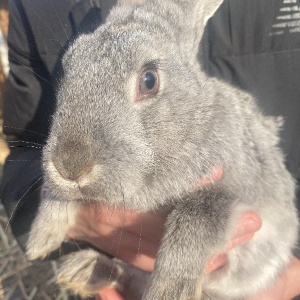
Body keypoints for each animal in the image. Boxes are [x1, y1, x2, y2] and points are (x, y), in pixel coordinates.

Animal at [26, 0, 300, 300]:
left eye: (149, 80)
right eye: (67, 70)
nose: (70, 166)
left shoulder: (230, 190)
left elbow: (193, 220)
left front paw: (170, 291)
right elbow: (60, 198)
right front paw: (40, 238)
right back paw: (84, 271)